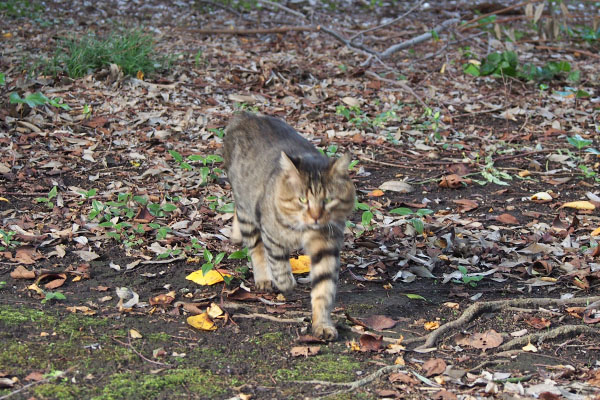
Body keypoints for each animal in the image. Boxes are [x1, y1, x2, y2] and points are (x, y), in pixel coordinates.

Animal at [225, 112, 356, 340]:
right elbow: (277, 261)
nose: (316, 217)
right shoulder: (272, 234)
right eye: (302, 200)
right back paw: (264, 278)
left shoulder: (327, 246)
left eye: (327, 200)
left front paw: (322, 324)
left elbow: (324, 289)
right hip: (247, 210)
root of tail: (246, 115)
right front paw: (285, 282)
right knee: (256, 247)